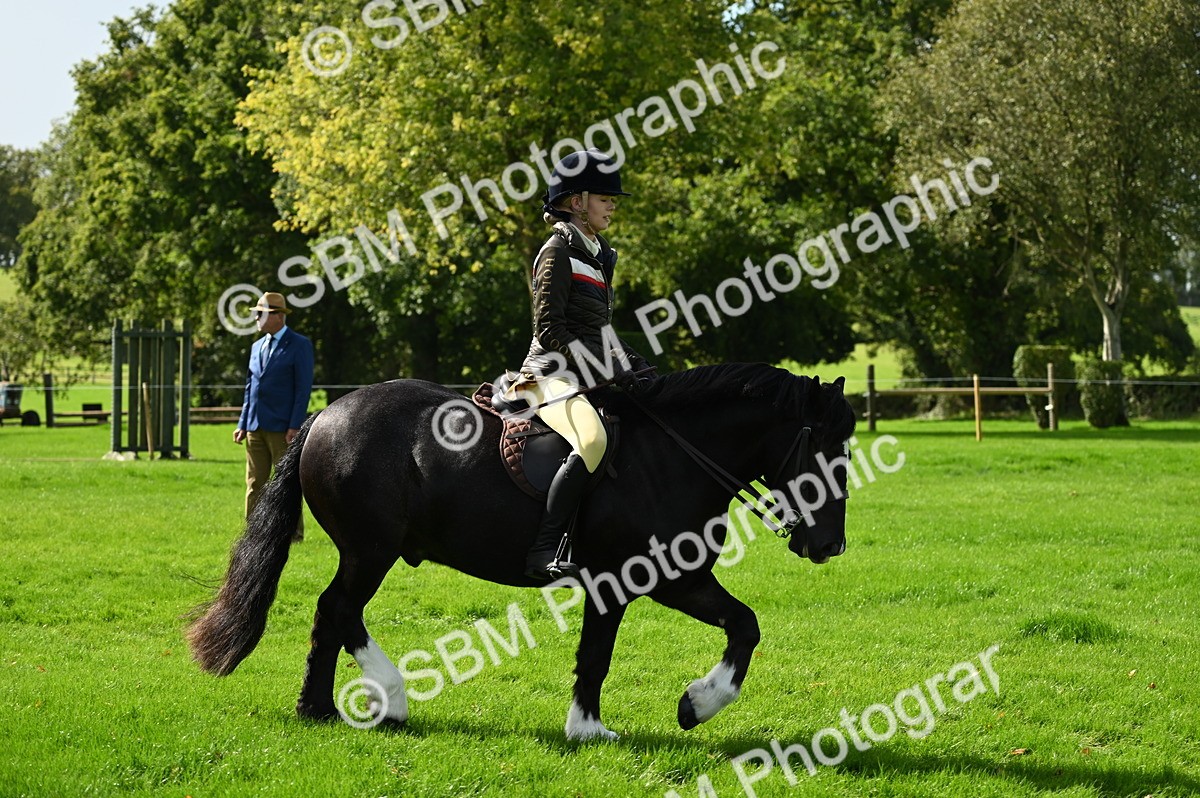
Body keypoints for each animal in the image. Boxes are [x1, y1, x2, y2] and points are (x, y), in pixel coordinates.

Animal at [187, 362, 857, 740]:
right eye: (822, 446)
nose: (830, 545)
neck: (671, 456)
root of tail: (327, 413)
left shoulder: (680, 579)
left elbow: (744, 626)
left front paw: (696, 705)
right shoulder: (619, 581)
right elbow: (596, 656)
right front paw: (588, 730)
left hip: (366, 551)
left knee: (332, 616)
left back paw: (320, 709)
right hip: (369, 550)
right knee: (339, 610)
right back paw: (384, 700)